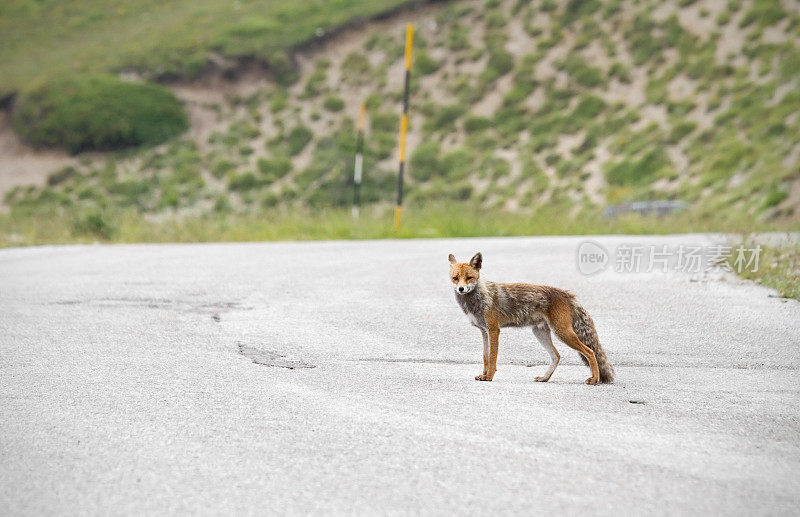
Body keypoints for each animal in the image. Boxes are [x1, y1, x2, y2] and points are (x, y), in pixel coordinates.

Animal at [450, 250, 612, 382]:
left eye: (469, 277)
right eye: (455, 278)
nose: (461, 289)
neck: (479, 299)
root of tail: (566, 294)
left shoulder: (494, 330)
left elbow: (492, 357)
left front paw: (489, 376)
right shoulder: (484, 331)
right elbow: (485, 357)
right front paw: (483, 374)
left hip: (562, 333)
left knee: (590, 352)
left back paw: (595, 379)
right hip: (540, 333)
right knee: (557, 356)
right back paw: (545, 378)